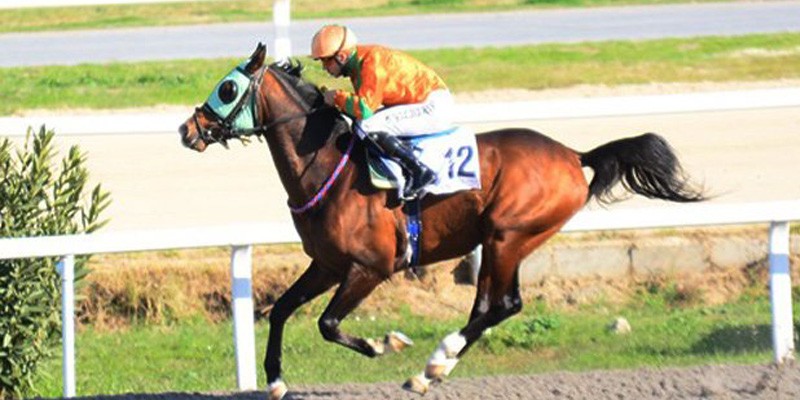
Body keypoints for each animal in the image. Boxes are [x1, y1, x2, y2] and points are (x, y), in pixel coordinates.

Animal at [178, 43, 705, 399]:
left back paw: (431, 364)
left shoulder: (370, 267)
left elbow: (327, 323)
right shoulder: (326, 264)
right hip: (507, 241)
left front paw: (384, 343)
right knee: (495, 306)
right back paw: (433, 369)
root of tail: (574, 156)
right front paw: (275, 380)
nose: (187, 129)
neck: (329, 166)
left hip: (507, 235)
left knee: (499, 304)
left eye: (227, 87)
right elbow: (282, 310)